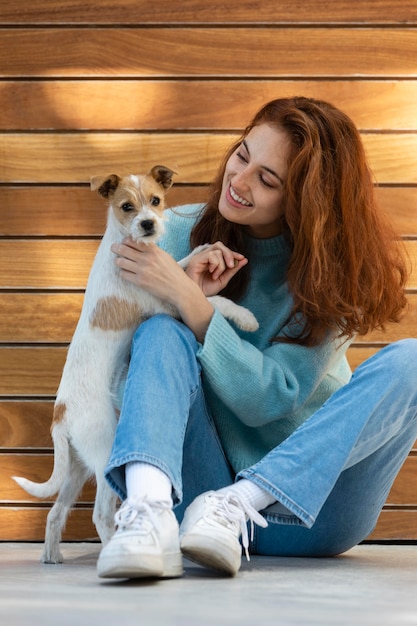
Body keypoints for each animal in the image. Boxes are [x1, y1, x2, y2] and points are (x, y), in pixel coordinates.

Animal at [13, 165, 256, 560]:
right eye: (127, 206)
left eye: (155, 201)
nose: (148, 224)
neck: (126, 245)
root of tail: (61, 414)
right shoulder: (166, 307)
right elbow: (212, 300)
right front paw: (245, 317)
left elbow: (183, 271)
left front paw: (201, 254)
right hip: (104, 455)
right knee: (99, 515)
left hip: (77, 467)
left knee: (56, 511)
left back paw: (52, 557)